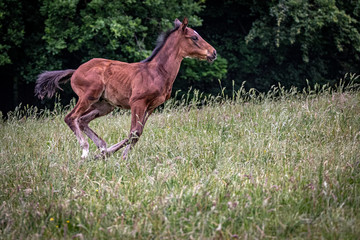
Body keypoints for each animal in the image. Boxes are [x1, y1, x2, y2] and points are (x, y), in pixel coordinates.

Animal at [35, 18, 217, 159]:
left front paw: (110, 155)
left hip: (104, 105)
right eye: (194, 37)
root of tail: (75, 71)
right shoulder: (137, 102)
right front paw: (116, 157)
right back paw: (86, 151)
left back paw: (102, 147)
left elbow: (137, 133)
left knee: (82, 120)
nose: (213, 52)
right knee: (70, 117)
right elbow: (134, 132)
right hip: (88, 96)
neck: (158, 72)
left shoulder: (151, 107)